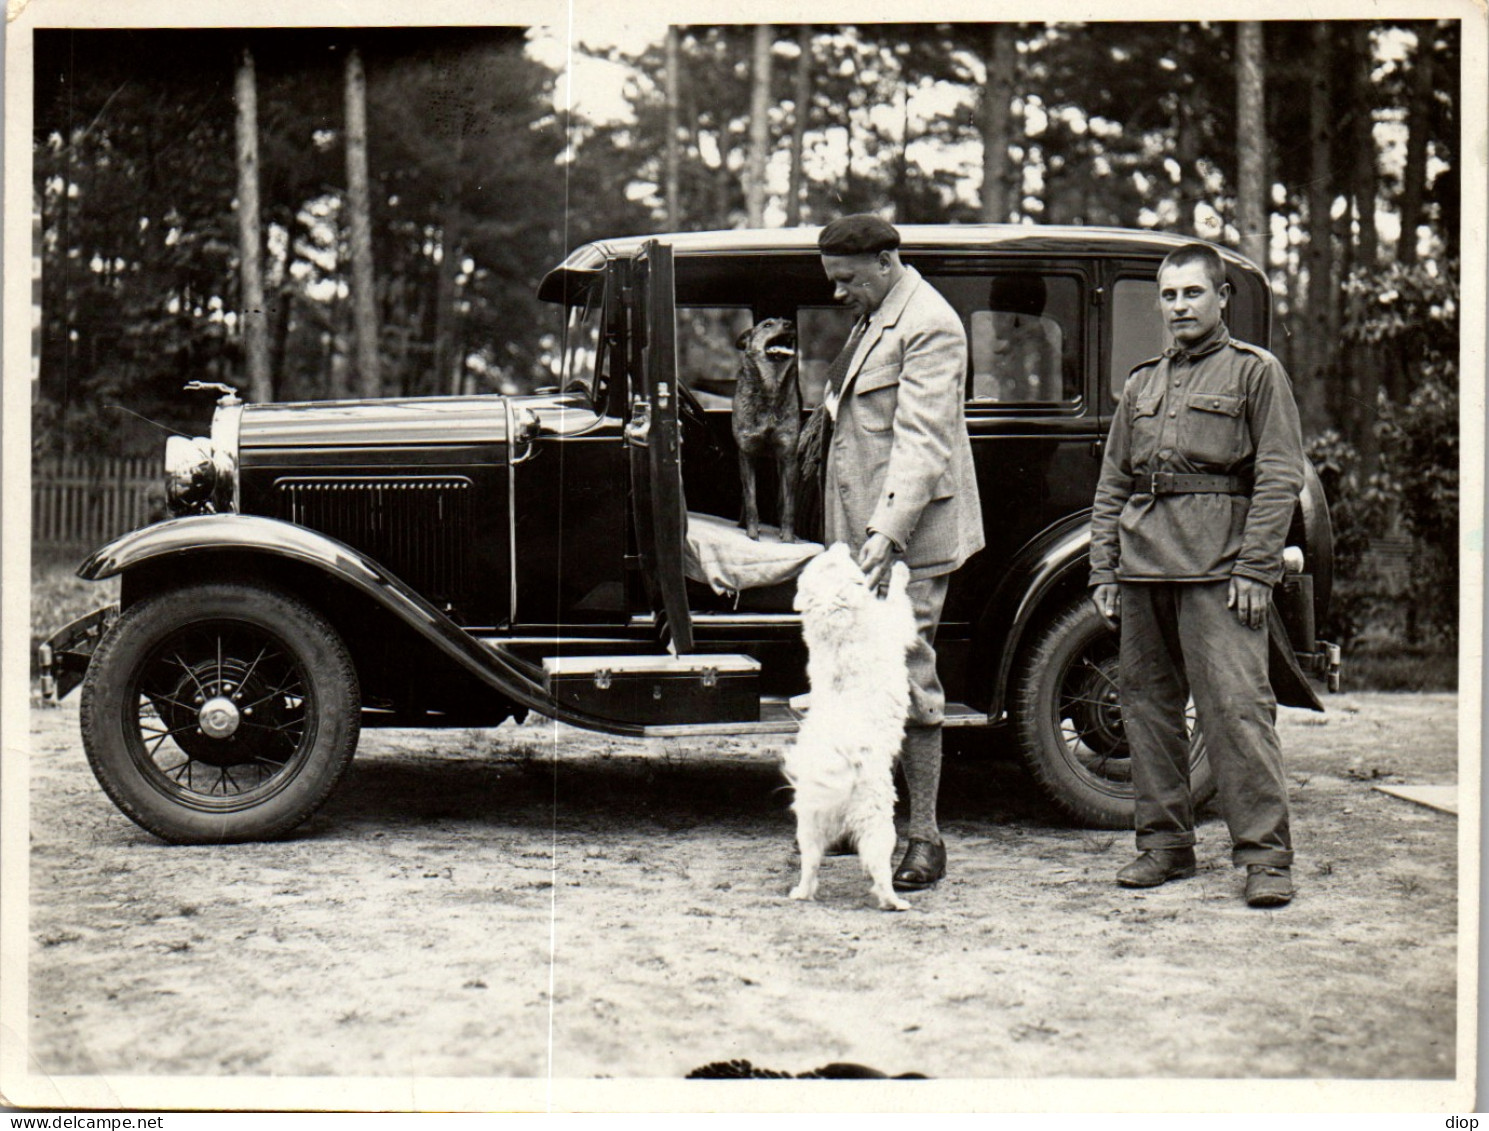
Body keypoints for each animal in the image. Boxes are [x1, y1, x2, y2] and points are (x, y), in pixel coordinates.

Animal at [732, 315, 804, 541]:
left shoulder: (788, 457)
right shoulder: (746, 453)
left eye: (786, 321)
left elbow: (789, 506)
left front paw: (788, 537)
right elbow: (751, 501)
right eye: (767, 325)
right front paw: (752, 532)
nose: (790, 325)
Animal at [780, 541, 917, 910]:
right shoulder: (894, 623)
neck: (834, 618)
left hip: (810, 827)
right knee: (879, 869)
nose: (839, 543)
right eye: (834, 559)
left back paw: (802, 892)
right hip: (878, 823)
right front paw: (899, 572)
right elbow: (898, 601)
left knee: (810, 864)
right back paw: (894, 901)